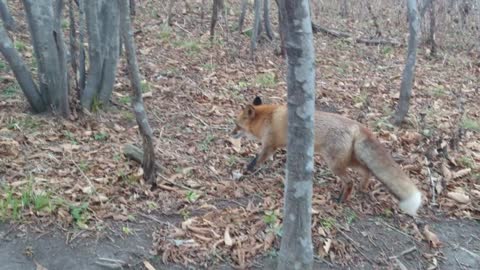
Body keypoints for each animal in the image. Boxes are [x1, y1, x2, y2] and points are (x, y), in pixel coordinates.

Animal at [232, 96, 424, 216]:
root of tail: (357, 125)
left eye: (237, 125)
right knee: (367, 171)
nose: (231, 133)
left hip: (334, 164)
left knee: (349, 181)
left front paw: (245, 171)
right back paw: (362, 187)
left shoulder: (269, 145)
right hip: (348, 161)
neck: (267, 118)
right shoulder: (275, 146)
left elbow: (256, 160)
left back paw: (341, 199)